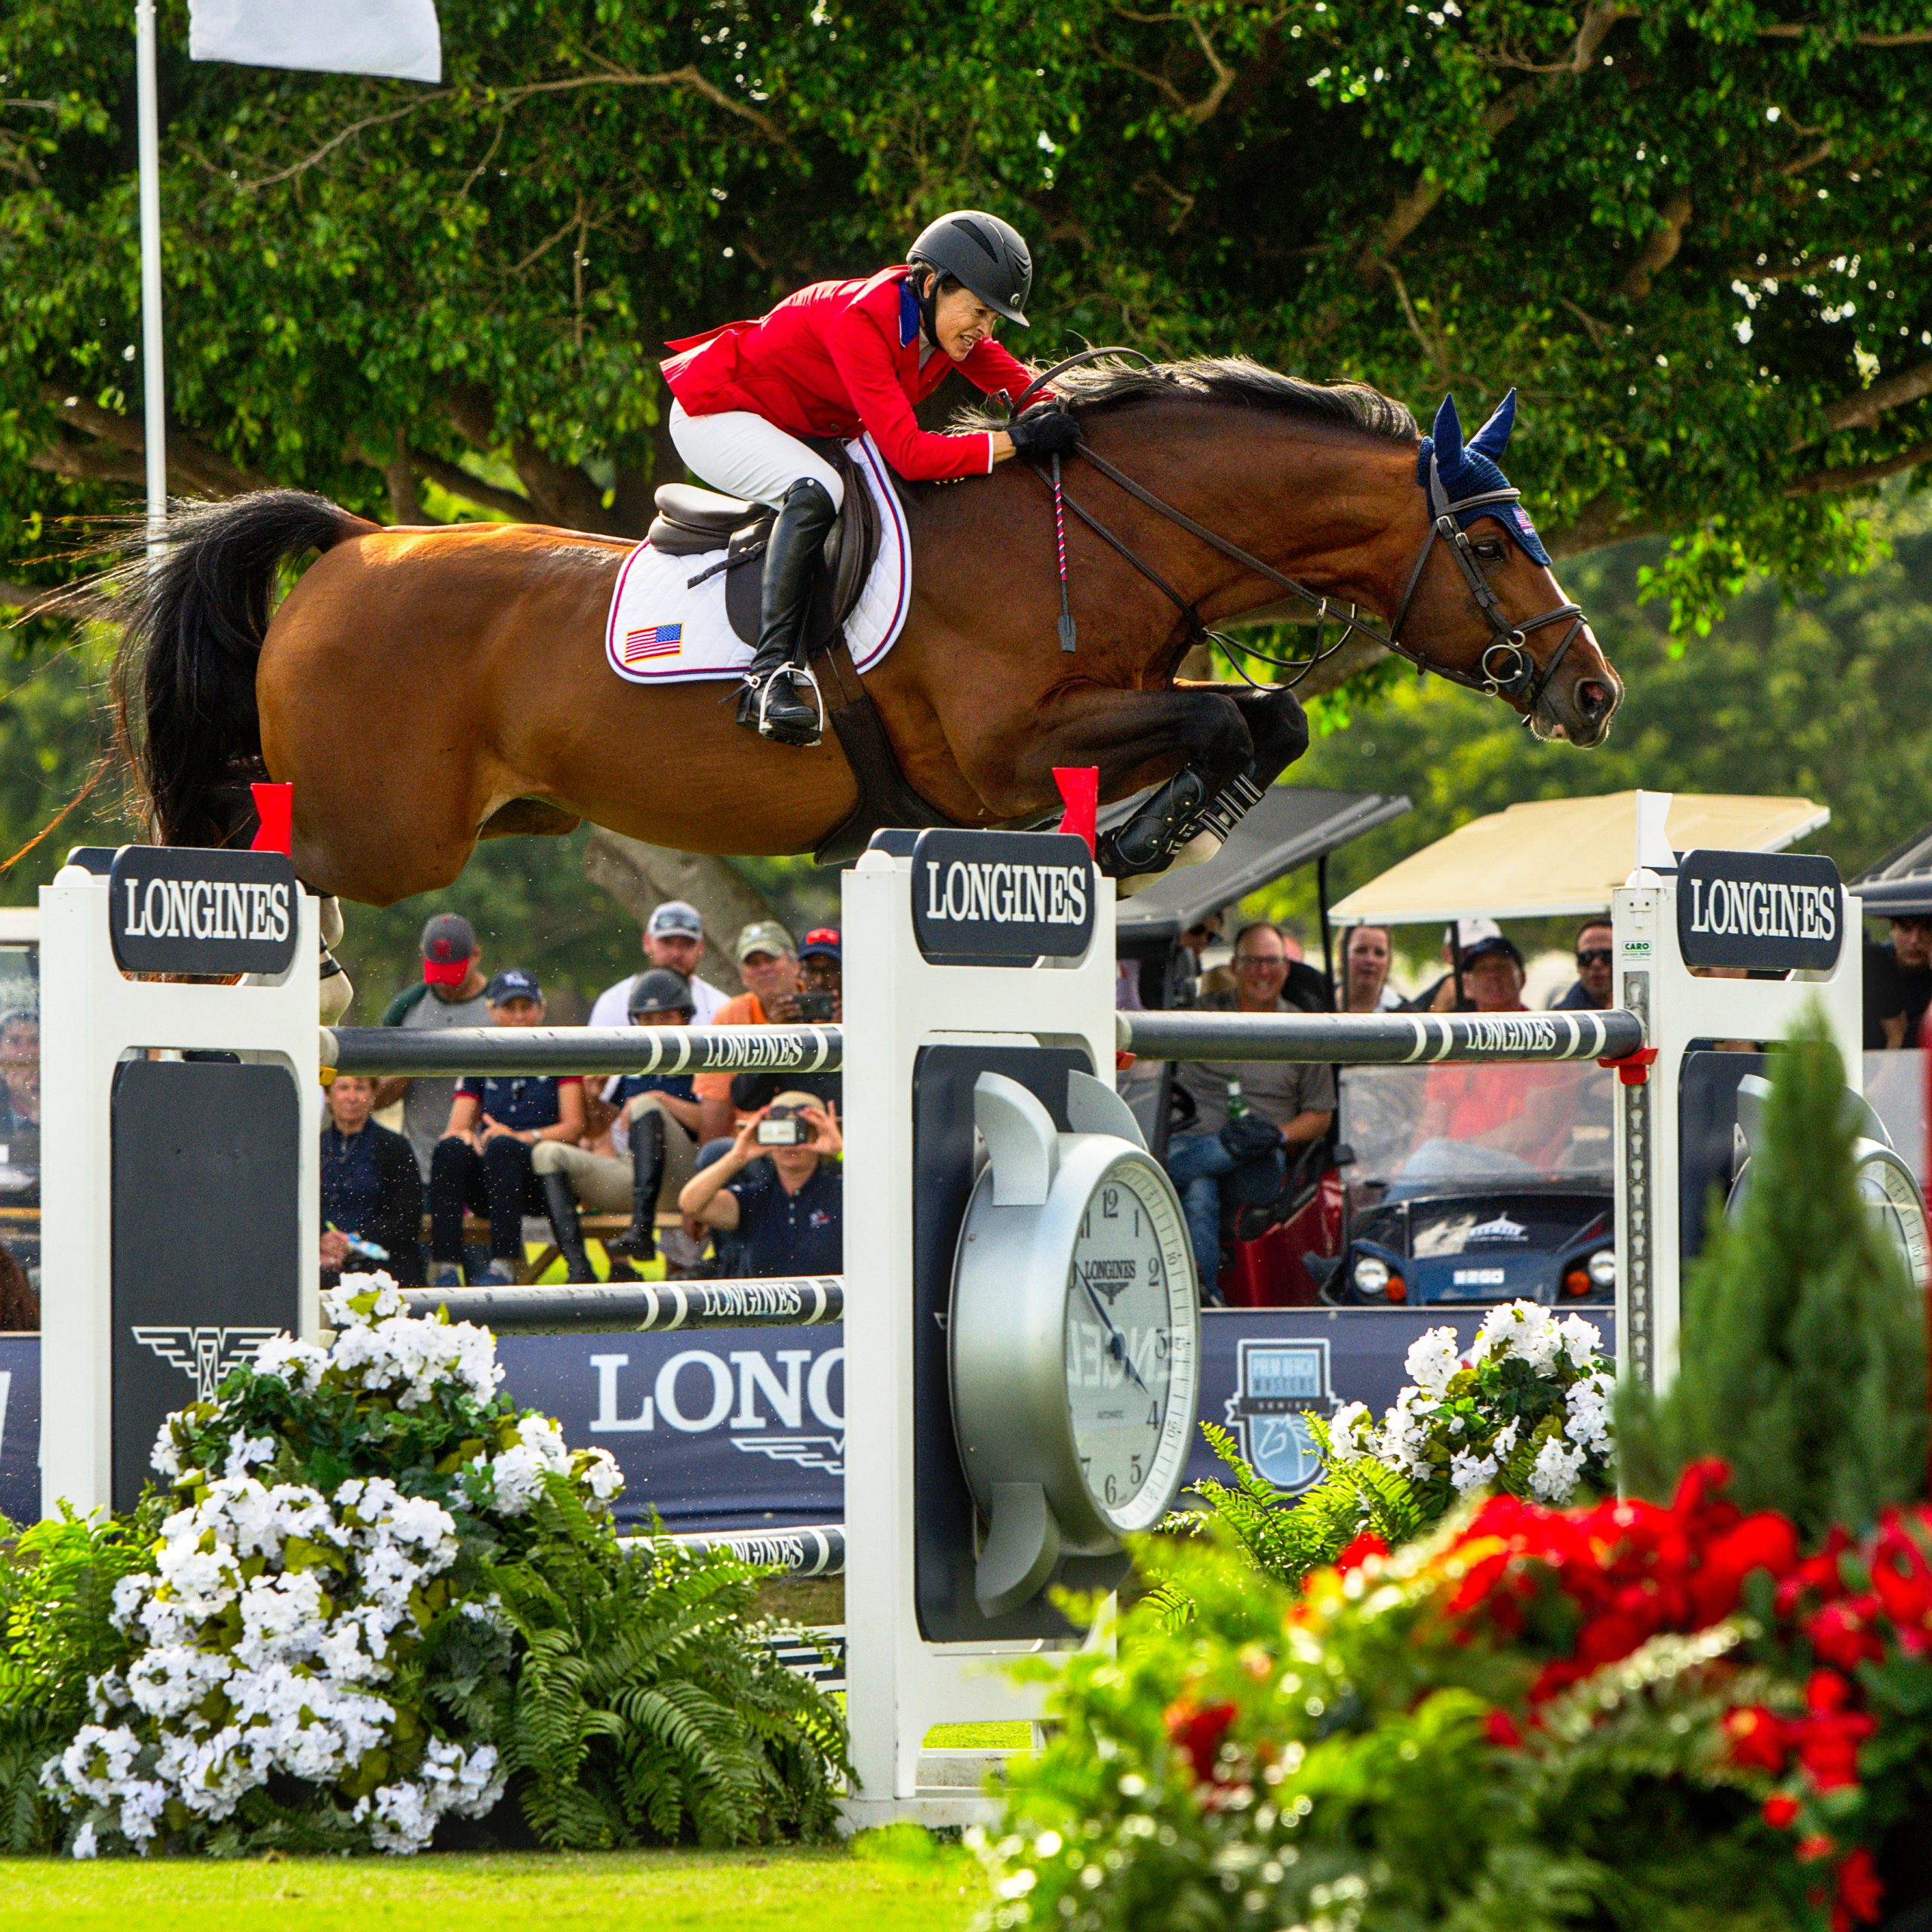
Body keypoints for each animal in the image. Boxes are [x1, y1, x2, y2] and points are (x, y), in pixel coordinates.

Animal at [112, 359, 1623, 946]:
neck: (1105, 527)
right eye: (1495, 546)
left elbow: (1263, 721)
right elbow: (1217, 722)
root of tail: (356, 543)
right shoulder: (1011, 749)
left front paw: (1157, 833)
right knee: (241, 838)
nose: (1593, 688)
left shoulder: (1094, 717)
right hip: (384, 833)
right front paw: (1145, 834)